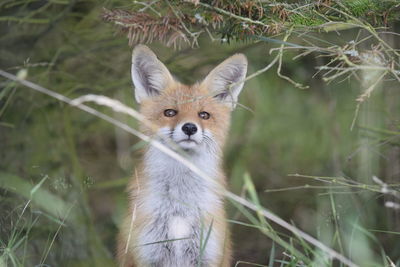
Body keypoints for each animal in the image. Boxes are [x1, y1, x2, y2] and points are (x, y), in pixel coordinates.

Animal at [115, 46, 247, 267]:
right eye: (170, 112)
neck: (179, 210)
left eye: (204, 115)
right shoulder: (148, 254)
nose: (190, 128)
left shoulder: (208, 255)